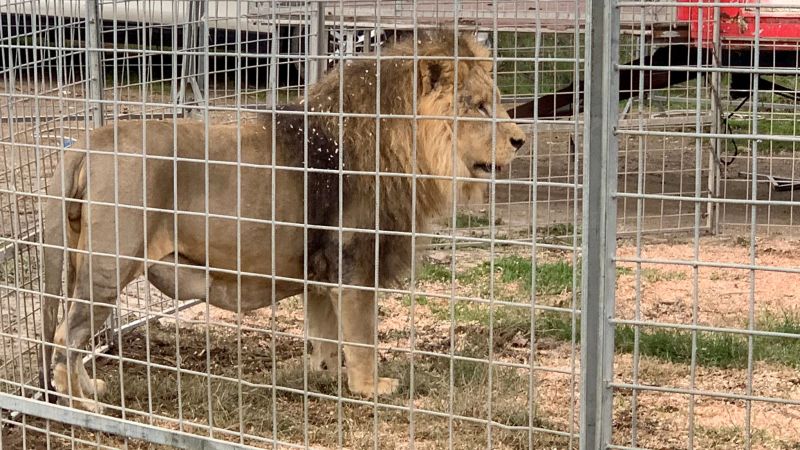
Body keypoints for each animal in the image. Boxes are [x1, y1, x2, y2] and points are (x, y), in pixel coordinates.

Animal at [39, 30, 526, 411]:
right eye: (479, 106)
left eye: (498, 102)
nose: (521, 141)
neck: (401, 144)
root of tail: (89, 142)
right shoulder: (354, 262)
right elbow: (363, 337)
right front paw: (371, 388)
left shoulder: (320, 271)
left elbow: (327, 333)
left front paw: (326, 375)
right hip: (109, 266)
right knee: (66, 334)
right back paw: (80, 404)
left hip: (84, 261)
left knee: (72, 336)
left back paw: (90, 389)